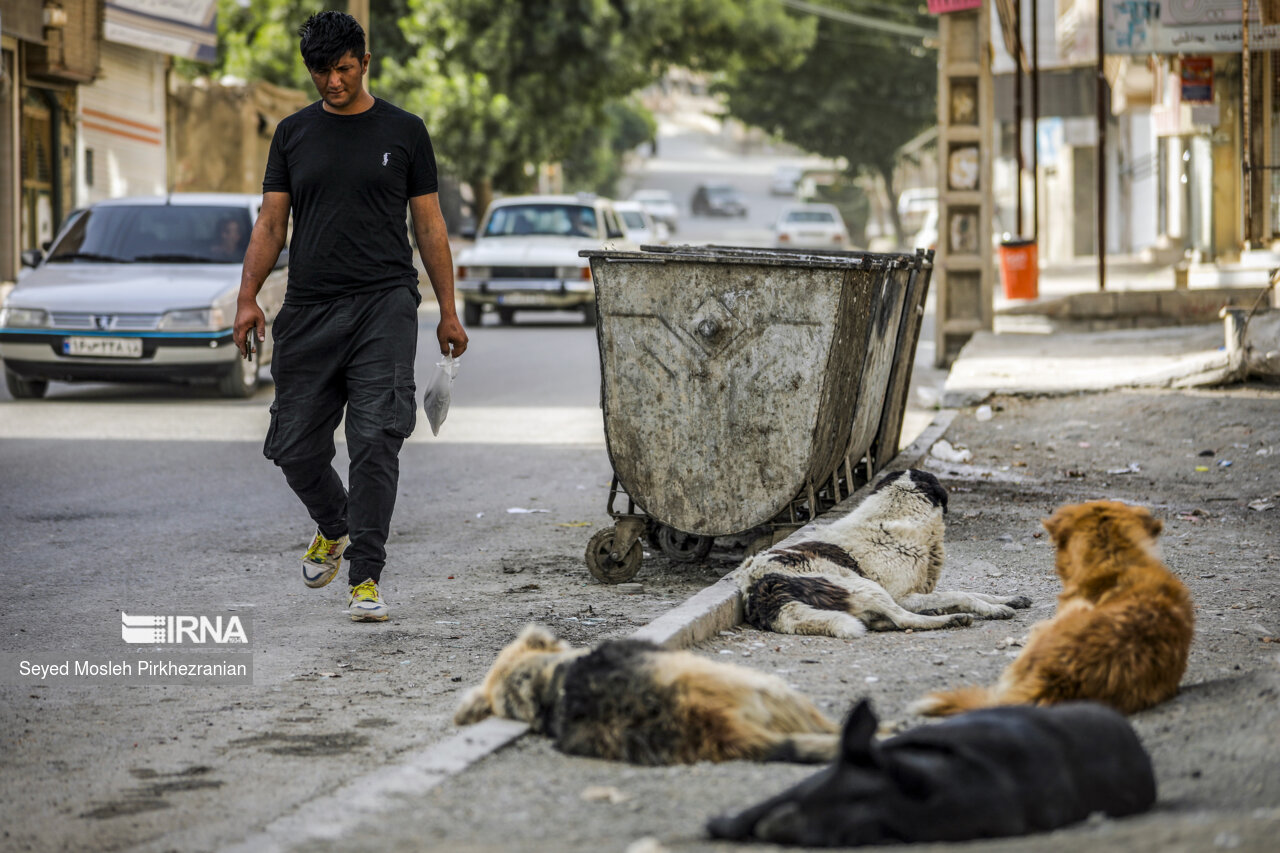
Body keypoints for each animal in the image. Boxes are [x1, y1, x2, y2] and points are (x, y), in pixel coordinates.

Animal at [737, 466, 1024, 637]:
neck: (894, 513)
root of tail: (760, 587)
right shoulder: (905, 596)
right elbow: (962, 594)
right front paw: (994, 609)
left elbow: (973, 591)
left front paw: (1007, 599)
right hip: (863, 585)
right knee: (903, 620)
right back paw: (950, 619)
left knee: (881, 621)